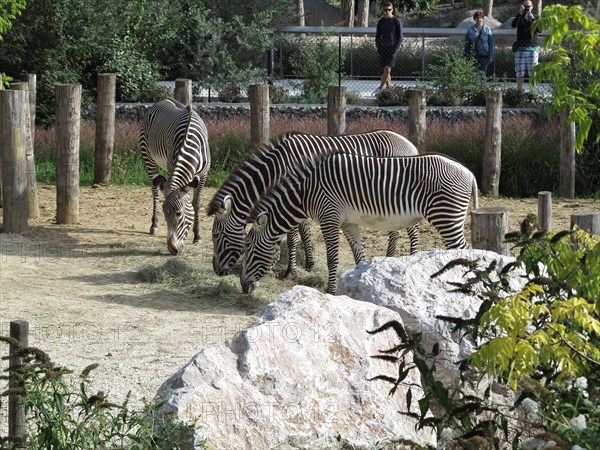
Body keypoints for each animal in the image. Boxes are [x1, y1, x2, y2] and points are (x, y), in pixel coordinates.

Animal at [139, 99, 211, 253]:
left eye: (179, 214)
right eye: (165, 215)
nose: (172, 249)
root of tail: (163, 100)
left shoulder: (203, 175)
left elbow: (196, 203)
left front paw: (197, 236)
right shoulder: (172, 166)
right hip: (149, 158)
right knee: (155, 191)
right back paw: (154, 225)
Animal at [206, 130, 418, 278]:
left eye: (216, 235)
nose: (217, 271)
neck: (278, 165)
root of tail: (410, 145)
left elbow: (292, 237)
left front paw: (290, 271)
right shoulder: (298, 198)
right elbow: (304, 232)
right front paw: (309, 264)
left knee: (412, 230)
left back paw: (413, 259)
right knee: (395, 230)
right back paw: (390, 258)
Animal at [239, 152, 478, 296]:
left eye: (248, 247)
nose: (243, 287)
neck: (306, 192)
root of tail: (469, 172)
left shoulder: (329, 217)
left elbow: (332, 259)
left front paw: (331, 292)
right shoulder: (348, 223)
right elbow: (359, 257)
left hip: (445, 216)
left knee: (466, 251)